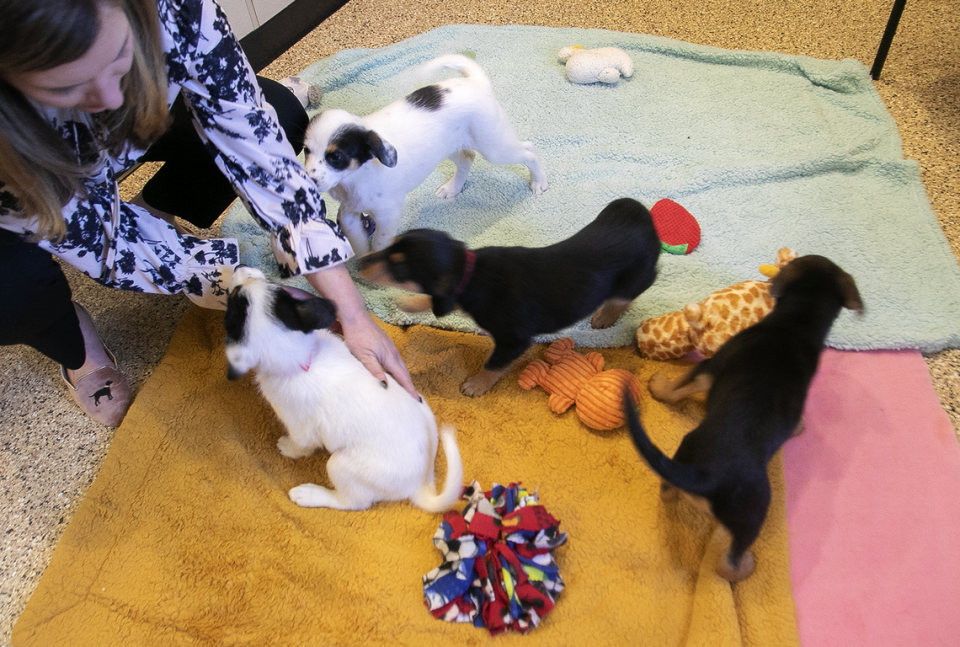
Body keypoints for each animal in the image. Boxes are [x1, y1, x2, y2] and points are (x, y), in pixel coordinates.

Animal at [225, 266, 464, 512]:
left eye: (233, 300)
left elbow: (300, 446)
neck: (304, 358)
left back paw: (311, 494)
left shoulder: (300, 428)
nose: (239, 267)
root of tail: (420, 484)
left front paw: (287, 448)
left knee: (353, 502)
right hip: (421, 402)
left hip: (340, 465)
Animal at [304, 53, 552, 256]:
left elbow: (379, 243)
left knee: (529, 149)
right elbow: (355, 235)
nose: (309, 181)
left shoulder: (387, 213)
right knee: (467, 158)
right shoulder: (349, 211)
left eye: (335, 157)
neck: (354, 177)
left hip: (494, 146)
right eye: (306, 151)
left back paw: (539, 182)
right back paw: (453, 188)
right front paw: (362, 257)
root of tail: (475, 82)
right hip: (448, 147)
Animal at [358, 197, 660, 398]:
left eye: (398, 267)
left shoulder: (513, 341)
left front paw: (475, 386)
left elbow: (492, 365)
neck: (470, 273)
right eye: (390, 247)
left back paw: (604, 316)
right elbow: (437, 300)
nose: (360, 262)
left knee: (627, 295)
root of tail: (640, 217)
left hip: (636, 277)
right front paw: (407, 302)